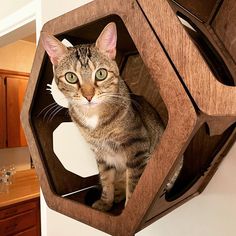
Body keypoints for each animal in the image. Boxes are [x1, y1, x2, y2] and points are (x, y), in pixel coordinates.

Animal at [41, 21, 181, 210]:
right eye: (71, 77)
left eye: (101, 73)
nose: (89, 96)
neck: (94, 118)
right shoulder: (101, 155)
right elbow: (107, 181)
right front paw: (105, 203)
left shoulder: (136, 145)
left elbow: (134, 183)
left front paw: (129, 209)